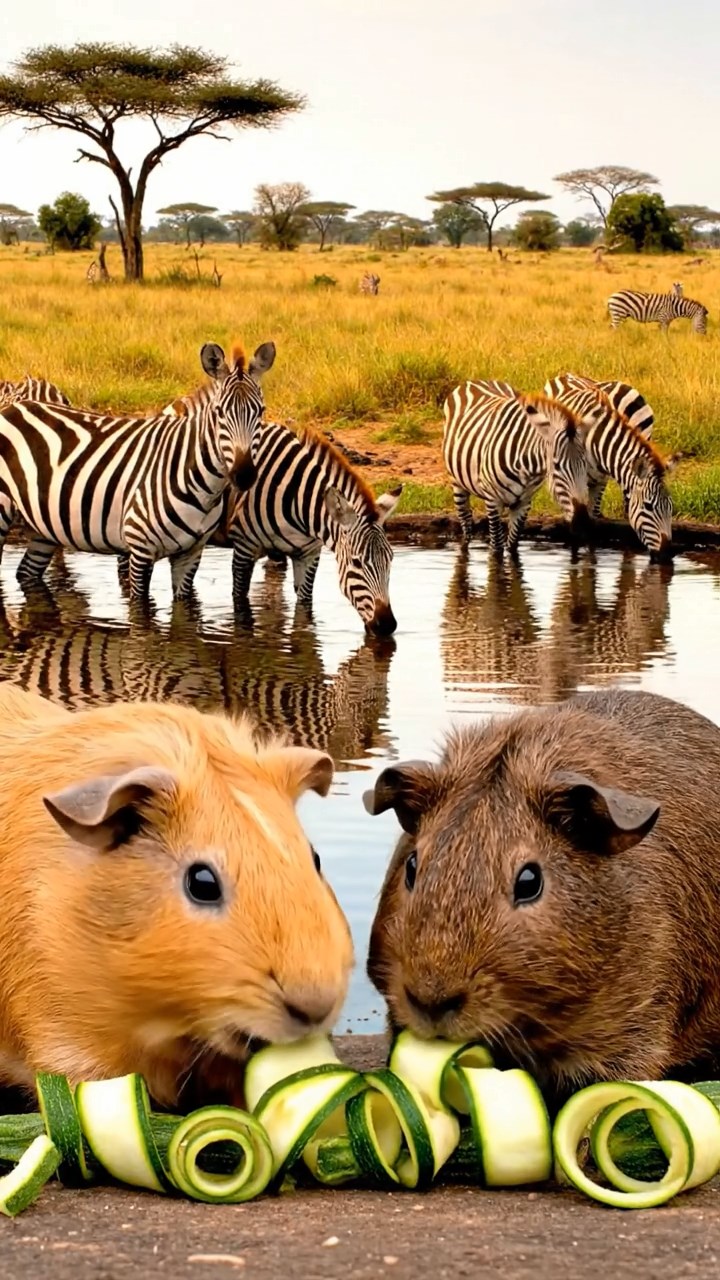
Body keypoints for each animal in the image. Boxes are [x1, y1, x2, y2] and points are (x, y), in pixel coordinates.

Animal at [0, 340, 276, 600]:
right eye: (219, 413)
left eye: (261, 411)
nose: (244, 475)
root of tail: (13, 407)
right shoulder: (140, 550)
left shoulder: (190, 555)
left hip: (43, 527)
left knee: (26, 572)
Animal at [226, 423, 401, 635]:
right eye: (356, 563)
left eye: (390, 559)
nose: (387, 625)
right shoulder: (244, 548)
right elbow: (240, 601)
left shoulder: (309, 555)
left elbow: (304, 607)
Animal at [441, 380, 594, 556]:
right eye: (556, 466)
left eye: (585, 465)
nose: (583, 524)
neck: (527, 468)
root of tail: (476, 381)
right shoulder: (493, 501)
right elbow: (497, 548)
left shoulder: (524, 503)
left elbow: (513, 546)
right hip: (457, 483)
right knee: (466, 523)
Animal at [543, 373, 674, 558]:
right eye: (648, 507)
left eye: (671, 507)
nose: (666, 554)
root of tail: (568, 374)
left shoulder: (600, 480)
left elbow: (592, 523)